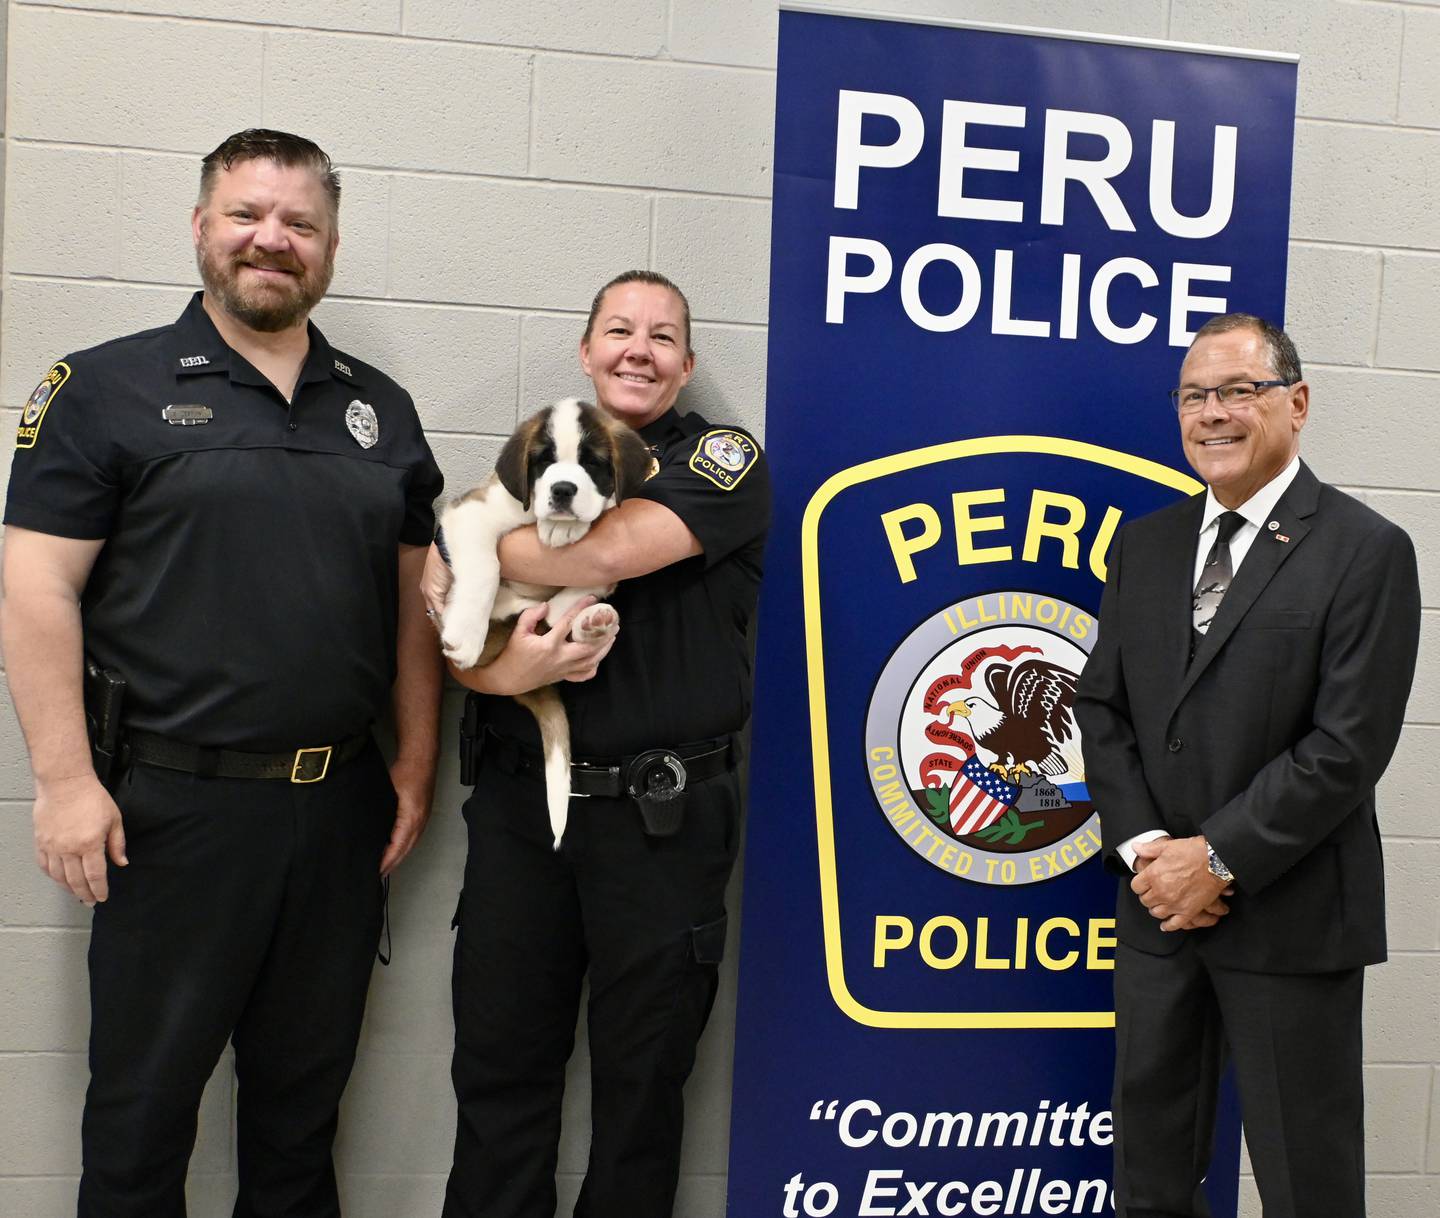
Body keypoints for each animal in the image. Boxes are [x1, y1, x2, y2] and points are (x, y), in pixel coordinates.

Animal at [432, 397, 648, 846]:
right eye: (544, 461)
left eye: (592, 463)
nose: (562, 490)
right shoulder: (473, 512)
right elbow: (486, 567)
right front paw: (464, 635)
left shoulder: (612, 561)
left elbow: (588, 579)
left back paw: (592, 623)